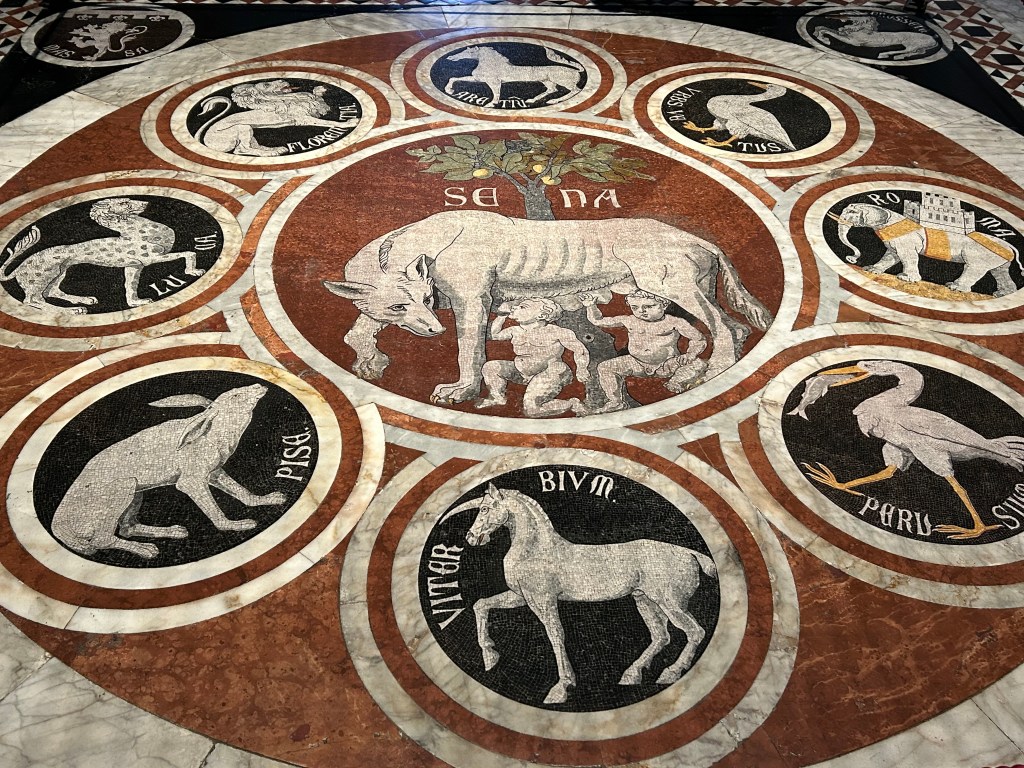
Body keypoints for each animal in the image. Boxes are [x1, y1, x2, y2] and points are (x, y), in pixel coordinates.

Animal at [0, 198, 204, 313]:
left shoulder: (134, 266)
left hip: (60, 272)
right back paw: (72, 310)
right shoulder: (150, 260)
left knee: (50, 292)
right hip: (43, 277)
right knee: (32, 300)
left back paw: (83, 301)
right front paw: (194, 271)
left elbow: (130, 286)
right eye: (124, 203)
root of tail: (19, 267)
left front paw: (135, 302)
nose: (146, 203)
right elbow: (189, 253)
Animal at [193, 80, 358, 157]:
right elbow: (328, 122)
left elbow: (315, 97)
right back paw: (270, 153)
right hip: (241, 127)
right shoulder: (303, 118)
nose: (283, 81)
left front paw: (319, 90)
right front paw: (350, 122)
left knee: (245, 148)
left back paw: (275, 149)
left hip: (250, 129)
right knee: (242, 148)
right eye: (266, 84)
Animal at [323, 211, 772, 406]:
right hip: (690, 290)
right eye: (399, 305)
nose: (434, 330)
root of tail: (699, 239)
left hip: (671, 287)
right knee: (736, 327)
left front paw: (461, 391)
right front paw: (370, 363)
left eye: (426, 299)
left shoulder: (471, 302)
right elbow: (356, 330)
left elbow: (469, 351)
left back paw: (702, 377)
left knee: (724, 329)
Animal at [441, 483, 718, 704]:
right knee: (661, 636)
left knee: (694, 631)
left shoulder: (543, 600)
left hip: (670, 602)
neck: (534, 550)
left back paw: (670, 673)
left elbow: (556, 635)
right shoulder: (521, 597)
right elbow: (481, 604)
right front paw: (490, 657)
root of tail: (691, 553)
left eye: (485, 509)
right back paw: (631, 675)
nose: (472, 538)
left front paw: (560, 689)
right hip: (645, 600)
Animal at [443, 45, 584, 106]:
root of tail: (577, 70)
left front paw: (491, 104)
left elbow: (496, 93)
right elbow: (454, 78)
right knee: (552, 89)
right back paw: (533, 100)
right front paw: (449, 89)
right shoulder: (478, 79)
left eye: (468, 51)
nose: (450, 57)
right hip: (546, 81)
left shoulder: (494, 82)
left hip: (563, 81)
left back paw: (555, 100)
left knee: (575, 90)